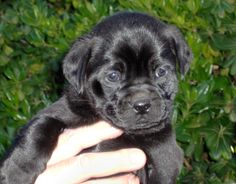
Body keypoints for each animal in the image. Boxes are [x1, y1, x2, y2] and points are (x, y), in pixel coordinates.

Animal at [0, 12, 192, 183]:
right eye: (113, 76)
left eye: (161, 72)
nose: (142, 104)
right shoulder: (60, 111)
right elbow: (40, 127)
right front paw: (16, 172)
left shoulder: (165, 158)